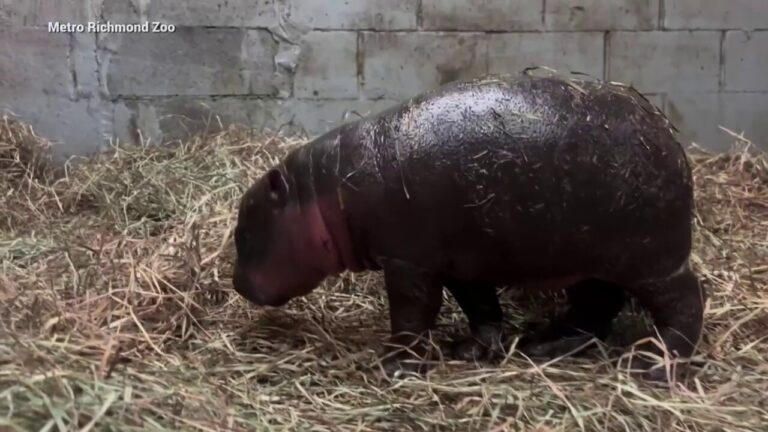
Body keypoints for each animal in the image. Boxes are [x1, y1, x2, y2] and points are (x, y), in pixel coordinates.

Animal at [234, 71, 708, 382]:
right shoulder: (459, 261)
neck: (330, 190)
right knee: (595, 309)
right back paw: (545, 343)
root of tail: (672, 140)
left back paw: (653, 367)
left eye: (245, 232)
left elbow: (412, 314)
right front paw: (472, 350)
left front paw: (393, 364)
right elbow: (480, 307)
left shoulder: (408, 262)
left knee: (685, 303)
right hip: (589, 259)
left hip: (651, 260)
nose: (237, 284)